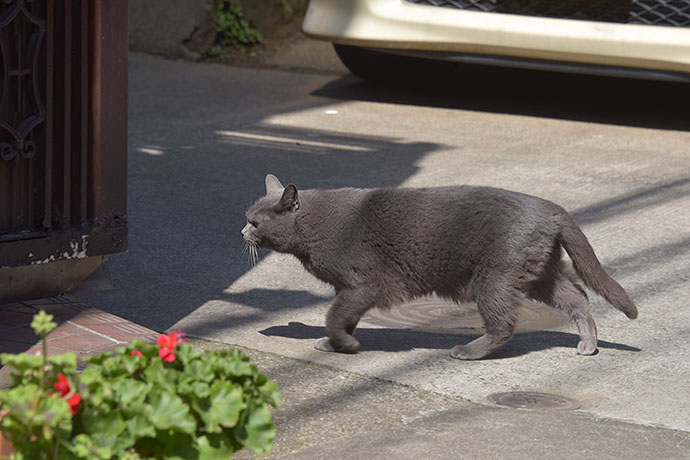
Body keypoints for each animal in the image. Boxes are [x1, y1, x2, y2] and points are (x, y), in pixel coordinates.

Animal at [242, 175, 636, 360]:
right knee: (578, 296)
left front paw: (345, 344)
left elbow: (335, 315)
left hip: (495, 275)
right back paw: (587, 343)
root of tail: (552, 208)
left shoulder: (366, 284)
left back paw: (469, 351)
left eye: (255, 222)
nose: (241, 231)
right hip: (537, 271)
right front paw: (337, 343)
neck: (315, 227)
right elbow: (344, 315)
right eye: (246, 218)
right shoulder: (349, 288)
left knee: (504, 324)